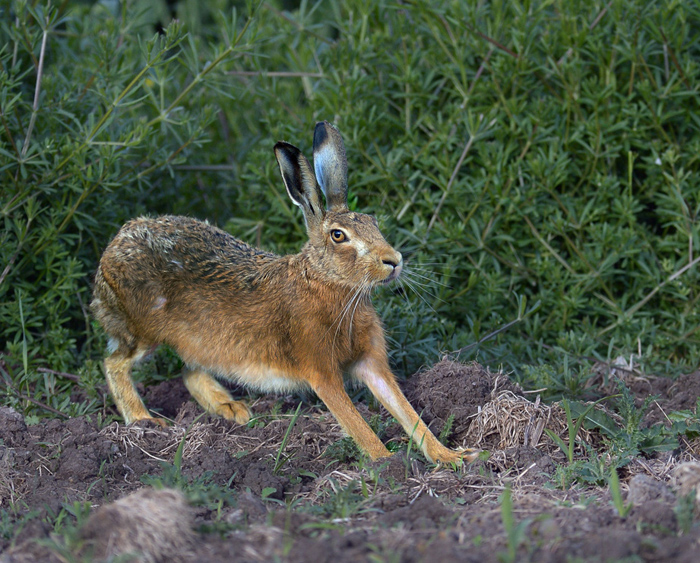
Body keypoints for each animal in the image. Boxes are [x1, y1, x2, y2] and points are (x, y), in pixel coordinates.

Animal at [90, 121, 478, 465]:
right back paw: (144, 420)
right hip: (142, 329)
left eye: (373, 222)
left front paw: (453, 458)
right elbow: (354, 420)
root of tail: (114, 246)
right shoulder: (320, 369)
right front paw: (386, 461)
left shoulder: (371, 362)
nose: (394, 261)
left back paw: (233, 409)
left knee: (189, 372)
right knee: (114, 363)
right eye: (339, 236)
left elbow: (406, 410)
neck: (327, 284)